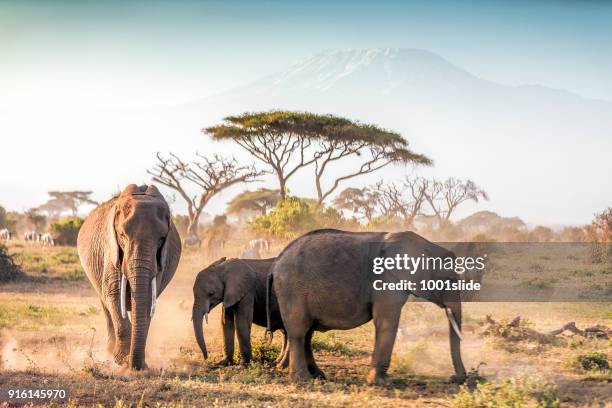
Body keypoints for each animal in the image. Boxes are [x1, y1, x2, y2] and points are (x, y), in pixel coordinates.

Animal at [77, 185, 180, 370]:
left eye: (162, 239)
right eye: (122, 236)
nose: (138, 367)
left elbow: (147, 299)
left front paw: (132, 361)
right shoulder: (110, 251)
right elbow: (114, 294)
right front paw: (121, 360)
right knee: (106, 306)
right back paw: (110, 352)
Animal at [270, 228, 466, 384]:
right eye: (450, 280)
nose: (455, 379)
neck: (426, 244)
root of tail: (279, 258)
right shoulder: (387, 278)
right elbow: (386, 322)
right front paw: (380, 383)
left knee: (307, 333)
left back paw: (318, 376)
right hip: (292, 288)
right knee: (299, 331)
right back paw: (303, 379)